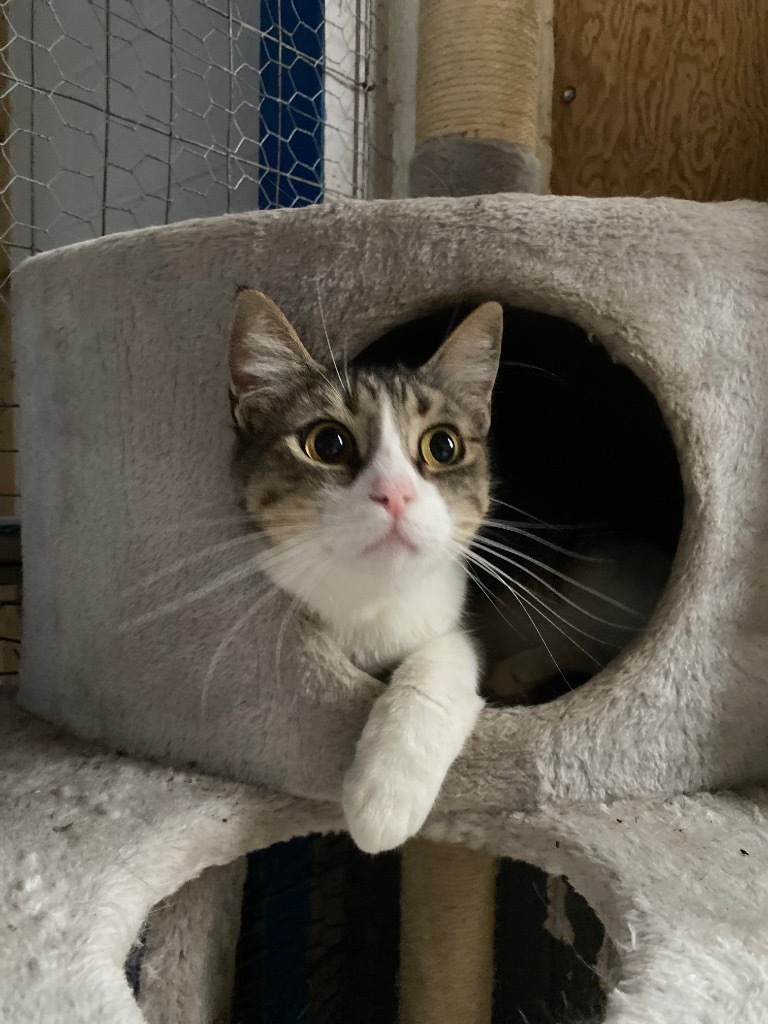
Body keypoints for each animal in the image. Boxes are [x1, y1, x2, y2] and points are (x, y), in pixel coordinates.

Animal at [227, 290, 667, 856]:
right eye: (327, 444)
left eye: (443, 446)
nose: (396, 494)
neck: (372, 599)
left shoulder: (449, 615)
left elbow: (444, 663)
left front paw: (384, 799)